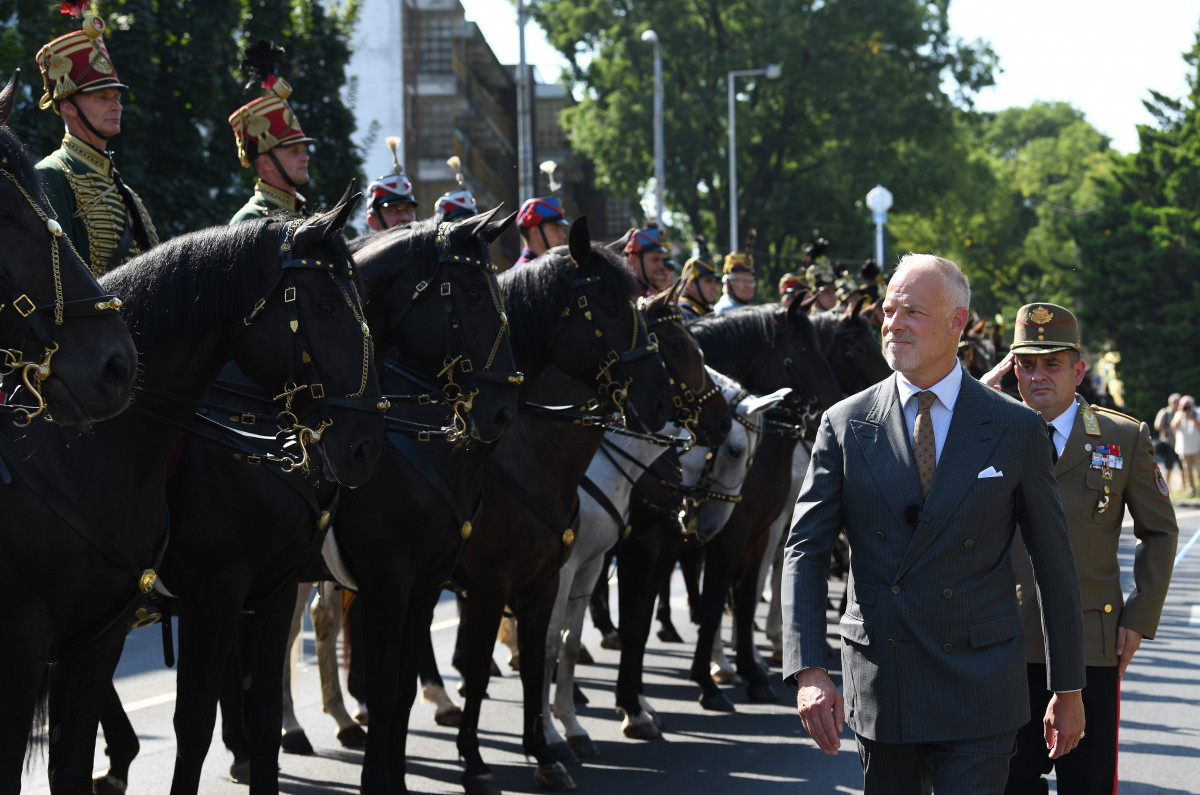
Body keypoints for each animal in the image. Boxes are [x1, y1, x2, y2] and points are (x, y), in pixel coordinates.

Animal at [1, 192, 384, 792]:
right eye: (325, 306)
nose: (367, 446)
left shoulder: (271, 591)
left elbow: (263, 715)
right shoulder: (214, 592)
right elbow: (195, 721)